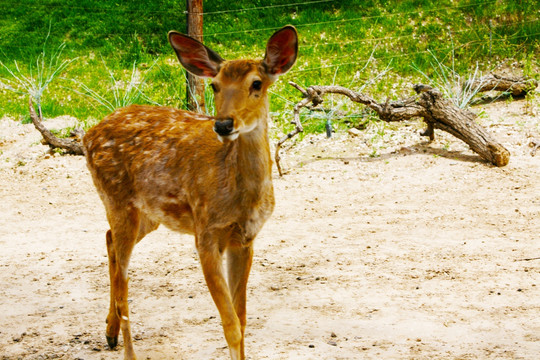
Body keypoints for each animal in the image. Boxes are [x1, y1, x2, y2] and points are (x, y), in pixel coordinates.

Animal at [82, 26, 298, 360]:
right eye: (214, 86)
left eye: (256, 84)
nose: (223, 124)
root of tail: (87, 135)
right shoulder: (206, 233)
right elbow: (230, 325)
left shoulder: (245, 239)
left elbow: (242, 318)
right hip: (116, 199)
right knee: (124, 284)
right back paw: (123, 343)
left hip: (148, 214)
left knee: (108, 241)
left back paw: (110, 332)